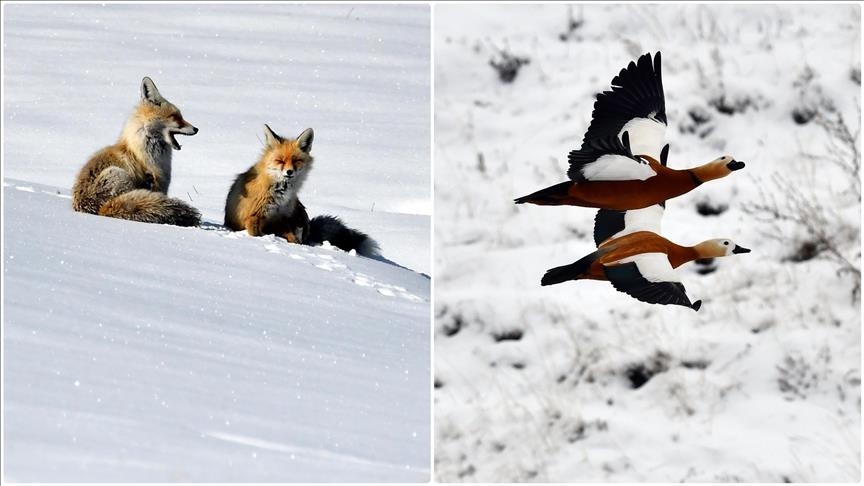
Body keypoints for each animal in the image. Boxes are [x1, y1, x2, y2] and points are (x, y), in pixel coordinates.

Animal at [224, 123, 380, 256]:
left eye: (296, 161)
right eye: (280, 161)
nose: (289, 172)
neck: (279, 195)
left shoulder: (282, 218)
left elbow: (292, 237)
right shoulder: (252, 216)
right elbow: (255, 232)